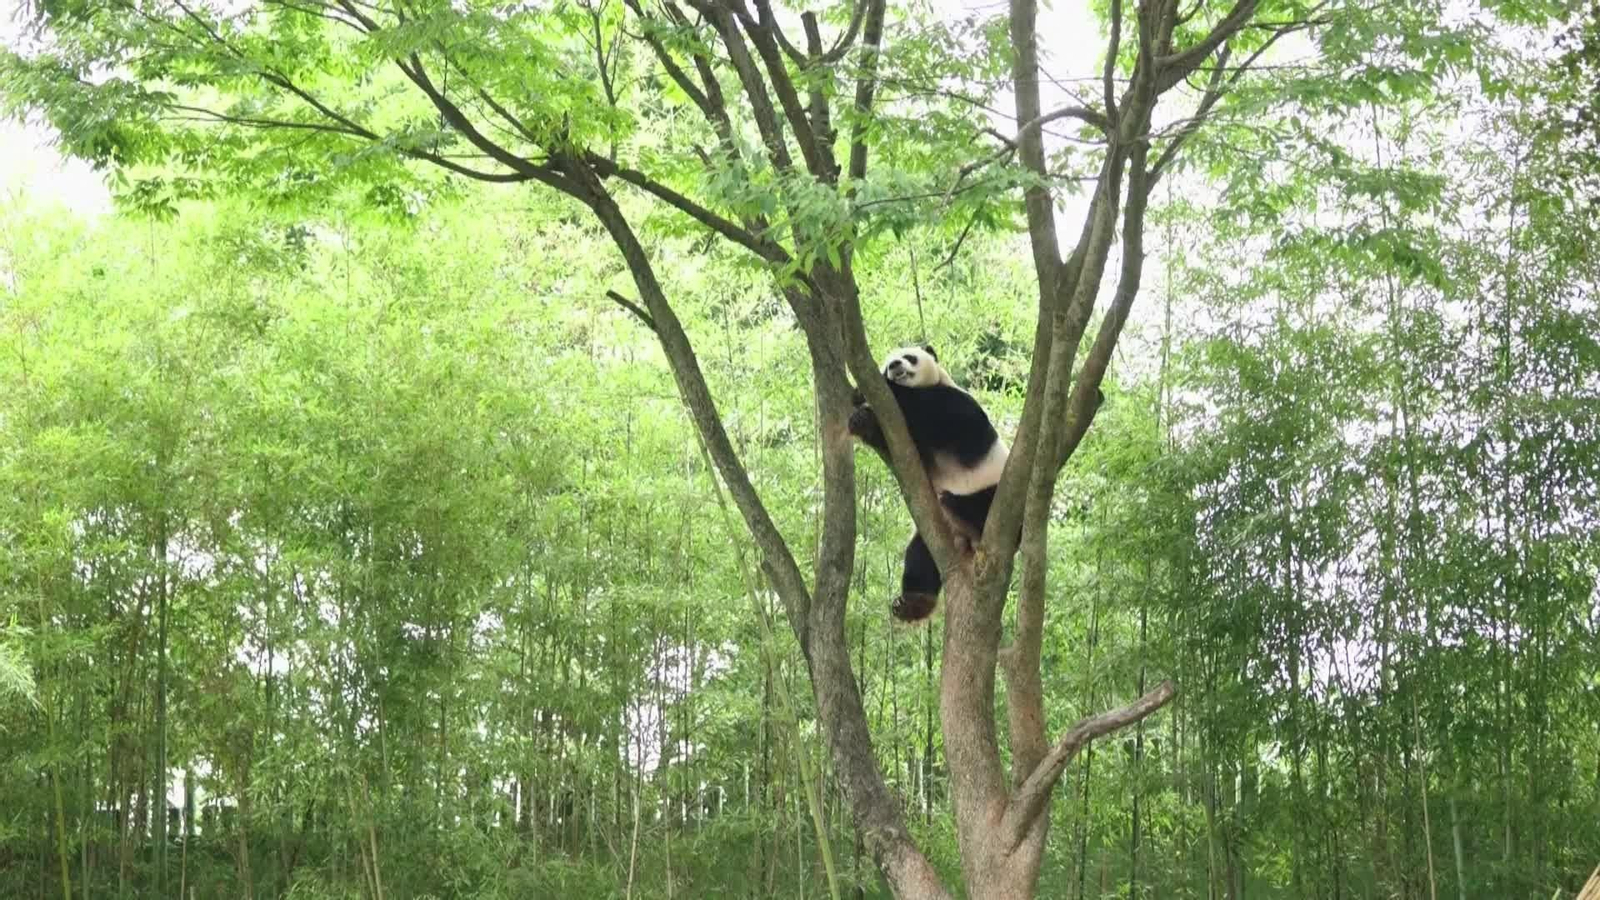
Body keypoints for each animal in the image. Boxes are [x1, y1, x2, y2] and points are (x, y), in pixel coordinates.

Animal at [848, 345, 1009, 623]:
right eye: (887, 364)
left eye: (908, 356)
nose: (894, 367)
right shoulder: (908, 444)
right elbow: (895, 446)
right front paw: (862, 420)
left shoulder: (957, 403)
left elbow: (938, 413)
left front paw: (870, 391)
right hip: (934, 533)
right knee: (920, 556)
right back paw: (913, 604)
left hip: (993, 494)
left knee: (978, 506)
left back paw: (961, 511)